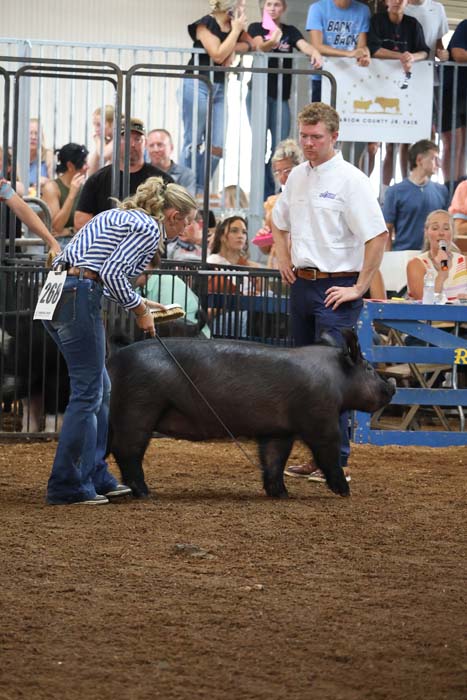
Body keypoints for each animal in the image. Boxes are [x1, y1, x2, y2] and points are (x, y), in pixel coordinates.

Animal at [107, 329, 394, 499]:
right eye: (369, 368)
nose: (391, 386)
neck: (336, 380)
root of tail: (113, 360)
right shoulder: (321, 418)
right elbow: (328, 452)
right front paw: (345, 491)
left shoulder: (279, 430)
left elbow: (274, 459)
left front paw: (281, 494)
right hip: (139, 407)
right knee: (128, 451)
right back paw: (145, 493)